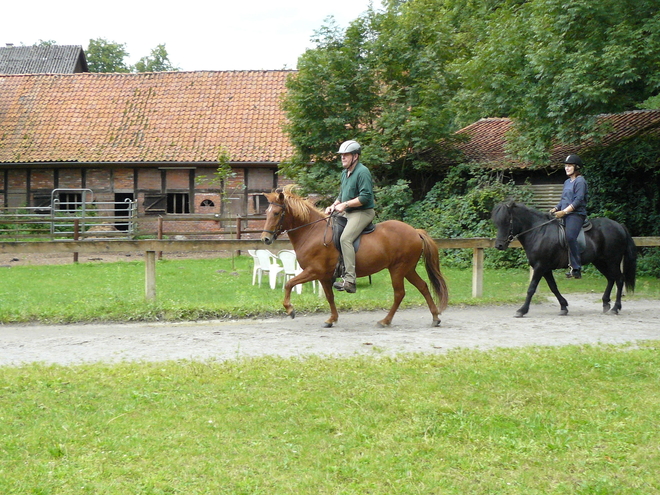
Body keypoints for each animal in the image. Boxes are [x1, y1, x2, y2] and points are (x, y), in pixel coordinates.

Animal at [260, 188, 448, 328]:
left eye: (276, 213)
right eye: (266, 212)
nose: (265, 239)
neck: (312, 232)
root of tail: (415, 232)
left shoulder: (314, 271)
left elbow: (289, 284)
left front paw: (290, 309)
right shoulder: (324, 276)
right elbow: (329, 296)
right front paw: (332, 319)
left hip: (398, 269)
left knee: (399, 293)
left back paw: (385, 321)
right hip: (407, 269)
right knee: (423, 286)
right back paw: (435, 317)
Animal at [492, 201, 636, 318]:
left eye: (507, 221)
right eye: (497, 223)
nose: (499, 245)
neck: (539, 232)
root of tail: (619, 226)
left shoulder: (540, 267)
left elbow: (531, 288)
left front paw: (522, 310)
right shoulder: (545, 269)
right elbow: (553, 287)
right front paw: (563, 306)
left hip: (612, 261)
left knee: (619, 279)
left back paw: (615, 308)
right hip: (600, 262)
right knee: (611, 278)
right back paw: (606, 303)